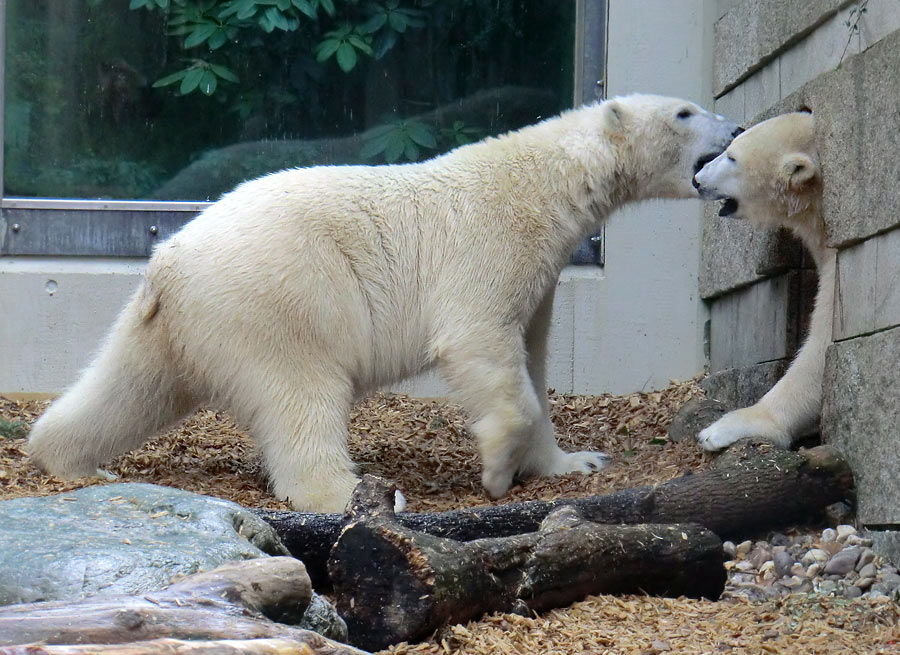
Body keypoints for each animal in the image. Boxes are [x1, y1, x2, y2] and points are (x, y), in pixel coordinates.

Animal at [31, 93, 740, 512]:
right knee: (300, 398)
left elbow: (532, 360)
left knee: (129, 385)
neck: (545, 182)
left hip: (175, 321)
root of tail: (167, 260)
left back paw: (64, 456)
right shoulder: (492, 242)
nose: (737, 125)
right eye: (684, 112)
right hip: (279, 298)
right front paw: (495, 473)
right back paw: (355, 493)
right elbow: (479, 343)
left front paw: (573, 461)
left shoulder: (540, 277)